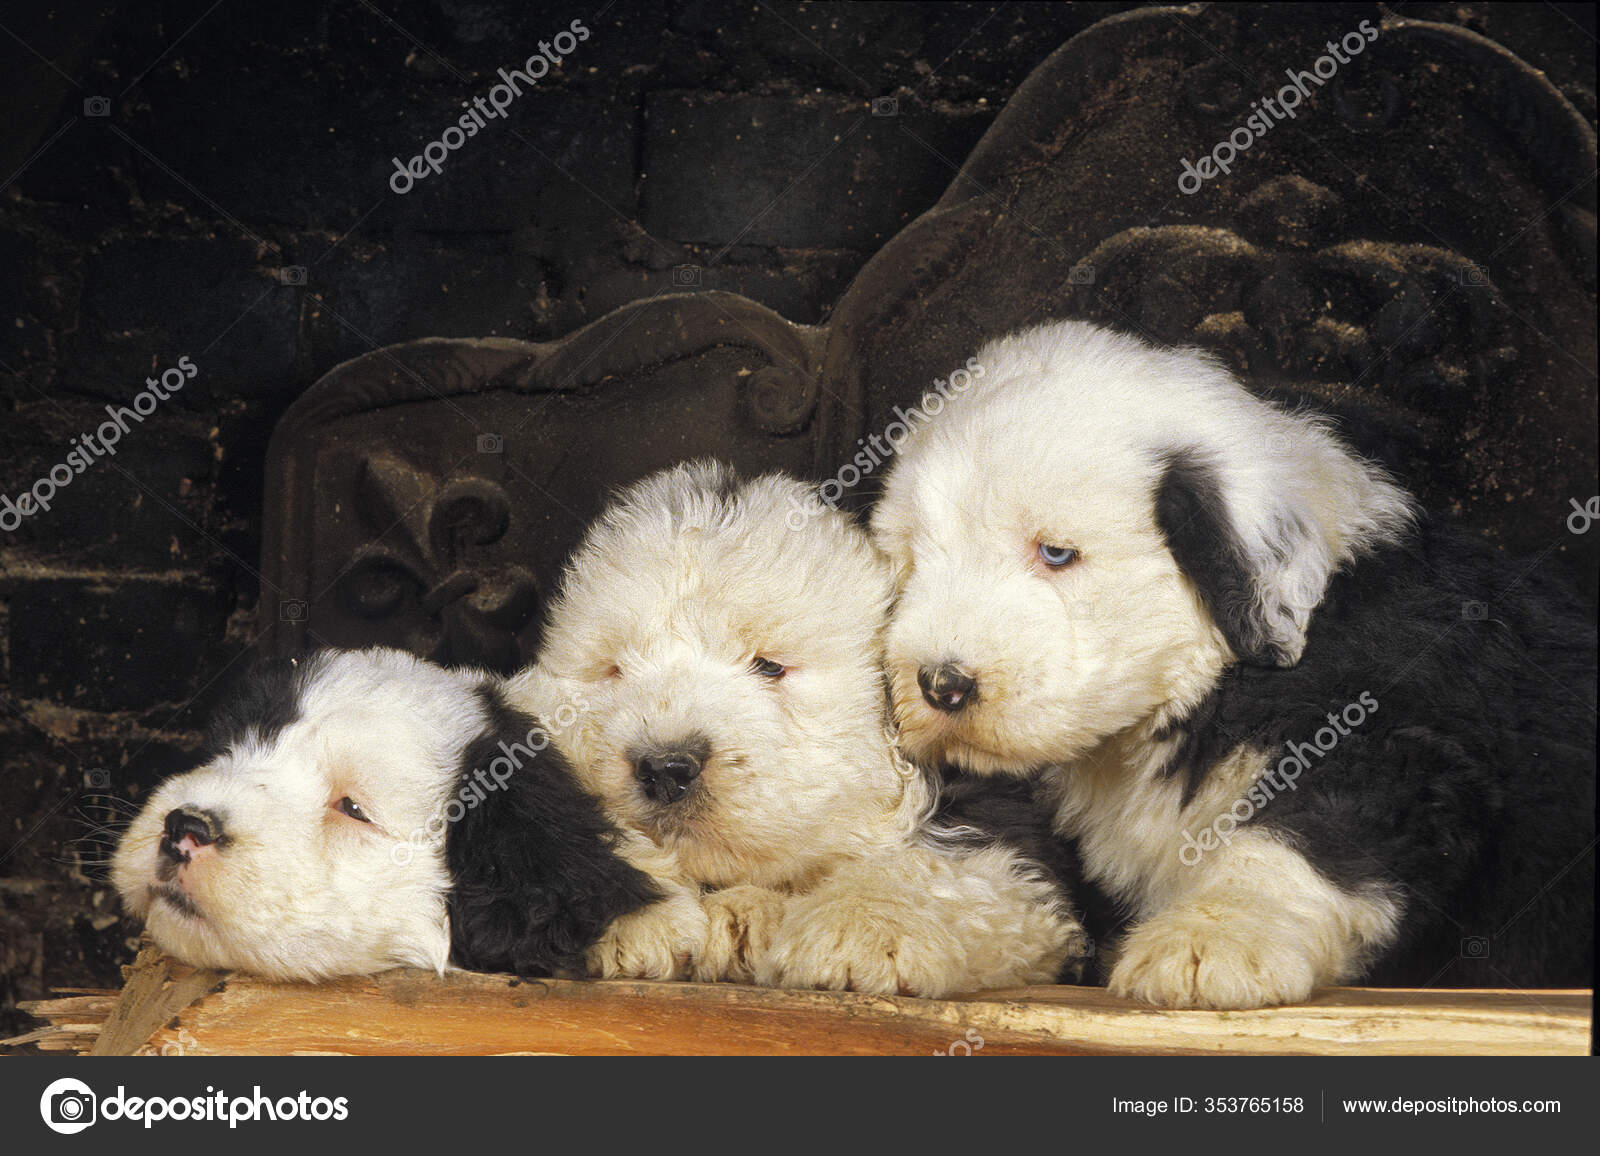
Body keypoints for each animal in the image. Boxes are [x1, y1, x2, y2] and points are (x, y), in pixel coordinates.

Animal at [518, 457, 1094, 992]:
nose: (664, 768)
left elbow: (936, 868)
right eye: (614, 671)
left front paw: (859, 929)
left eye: (769, 667)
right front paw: (637, 915)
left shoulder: (1004, 834)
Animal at [870, 320, 1593, 1005]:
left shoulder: (1393, 741)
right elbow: (999, 852)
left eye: (1055, 553)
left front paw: (1211, 939)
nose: (942, 685)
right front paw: (894, 920)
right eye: (912, 561)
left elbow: (1300, 842)